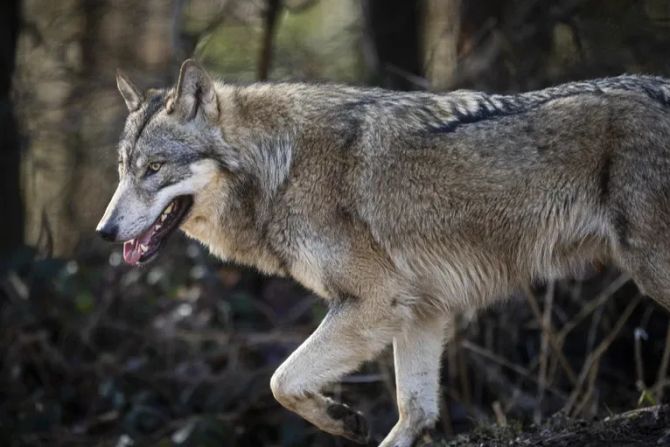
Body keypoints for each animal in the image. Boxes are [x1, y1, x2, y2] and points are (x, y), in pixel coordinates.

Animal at [97, 59, 670, 446]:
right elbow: (414, 407)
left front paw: (340, 417)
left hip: (651, 268)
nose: (104, 231)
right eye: (123, 169)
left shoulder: (375, 302)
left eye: (154, 169)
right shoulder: (422, 310)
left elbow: (280, 380)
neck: (281, 168)